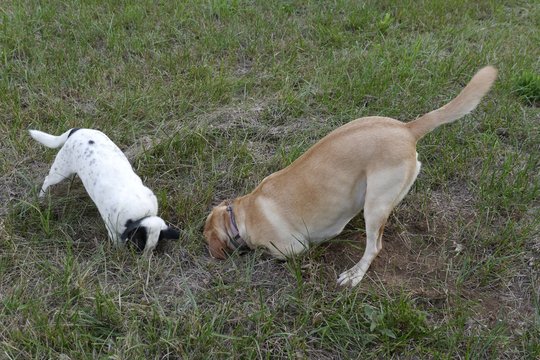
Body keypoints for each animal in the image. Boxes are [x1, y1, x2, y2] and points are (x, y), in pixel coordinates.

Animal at [29, 128, 179, 252]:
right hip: (60, 171)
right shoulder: (110, 224)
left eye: (153, 249)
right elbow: (116, 240)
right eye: (138, 246)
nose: (142, 263)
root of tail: (76, 130)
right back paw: (41, 197)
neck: (140, 213)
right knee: (47, 180)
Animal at [204, 67, 498, 286]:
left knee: (374, 247)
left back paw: (354, 275)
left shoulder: (290, 248)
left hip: (376, 205)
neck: (241, 214)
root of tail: (406, 128)